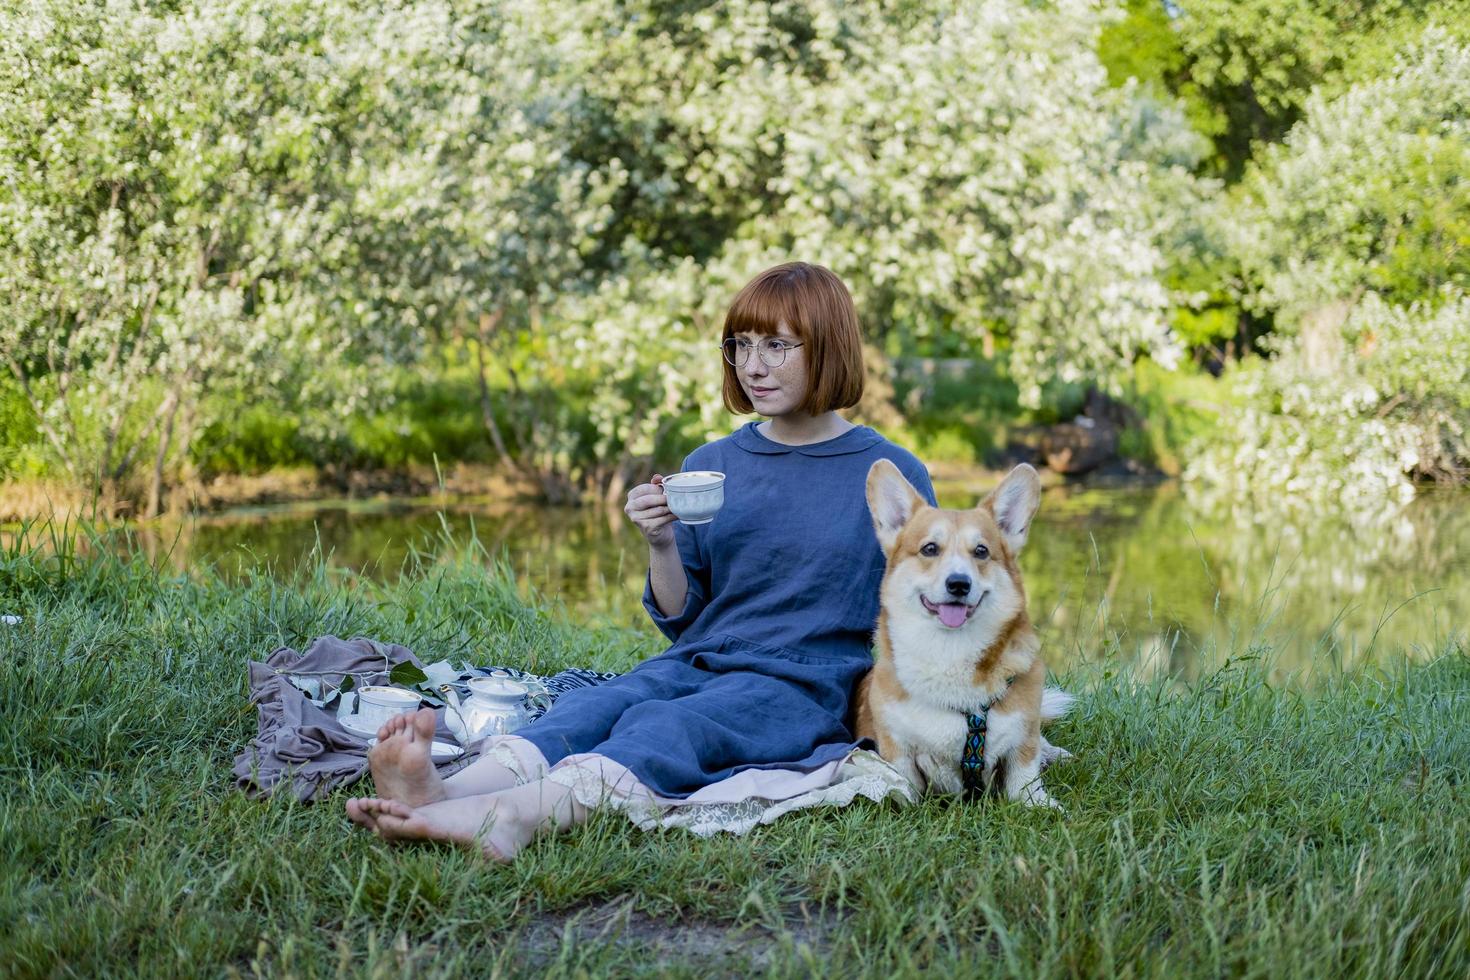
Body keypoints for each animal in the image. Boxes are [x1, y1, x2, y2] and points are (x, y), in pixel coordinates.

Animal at [858, 464, 1076, 811]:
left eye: (981, 551)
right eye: (930, 549)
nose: (959, 584)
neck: (950, 651)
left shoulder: (1022, 739)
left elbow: (1024, 778)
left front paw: (1042, 805)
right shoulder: (898, 749)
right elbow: (905, 789)